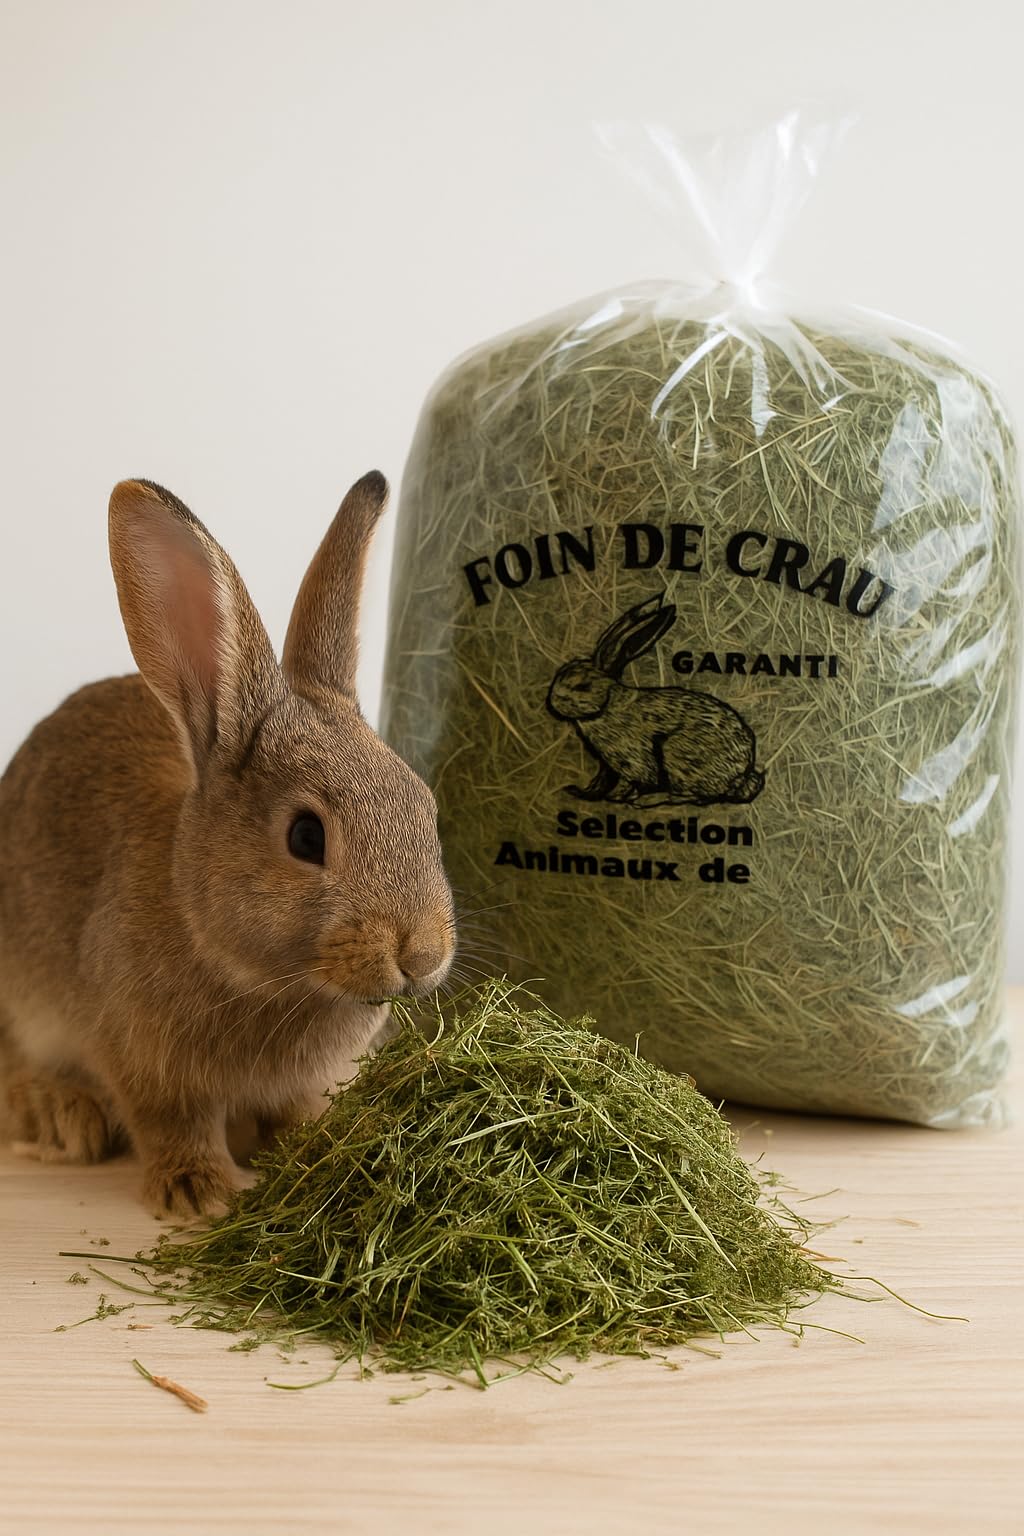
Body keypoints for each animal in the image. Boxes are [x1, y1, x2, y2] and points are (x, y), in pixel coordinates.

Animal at [0, 471, 455, 1216]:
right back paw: (63, 1117)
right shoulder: (146, 1064)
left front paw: (320, 1151)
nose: (422, 956)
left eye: (425, 807)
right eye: (306, 836)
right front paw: (201, 1191)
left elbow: (296, 1114)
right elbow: (172, 1123)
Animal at [546, 592, 765, 808]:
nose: (552, 702)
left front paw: (617, 797)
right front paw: (579, 792)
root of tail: (742, 773)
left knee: (692, 795)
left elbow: (631, 781)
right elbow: (600, 782)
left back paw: (649, 800)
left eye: (582, 686)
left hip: (676, 756)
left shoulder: (633, 761)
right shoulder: (607, 766)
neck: (608, 705)